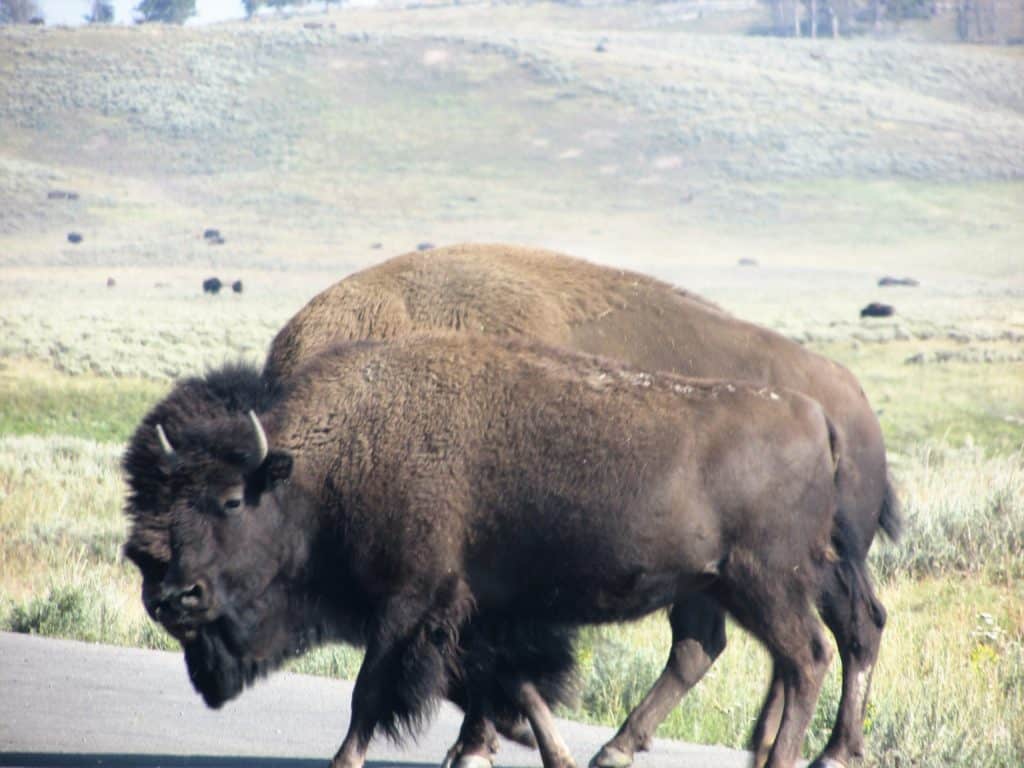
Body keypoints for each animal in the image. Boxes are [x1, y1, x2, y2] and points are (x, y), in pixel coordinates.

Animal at [128, 335, 864, 768]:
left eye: (230, 500)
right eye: (172, 500)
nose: (173, 596)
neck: (335, 458)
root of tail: (817, 420)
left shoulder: (410, 602)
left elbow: (372, 693)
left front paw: (348, 761)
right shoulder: (475, 611)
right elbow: (506, 684)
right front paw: (537, 752)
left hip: (765, 584)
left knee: (808, 656)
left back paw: (780, 759)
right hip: (714, 586)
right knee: (715, 651)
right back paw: (613, 752)